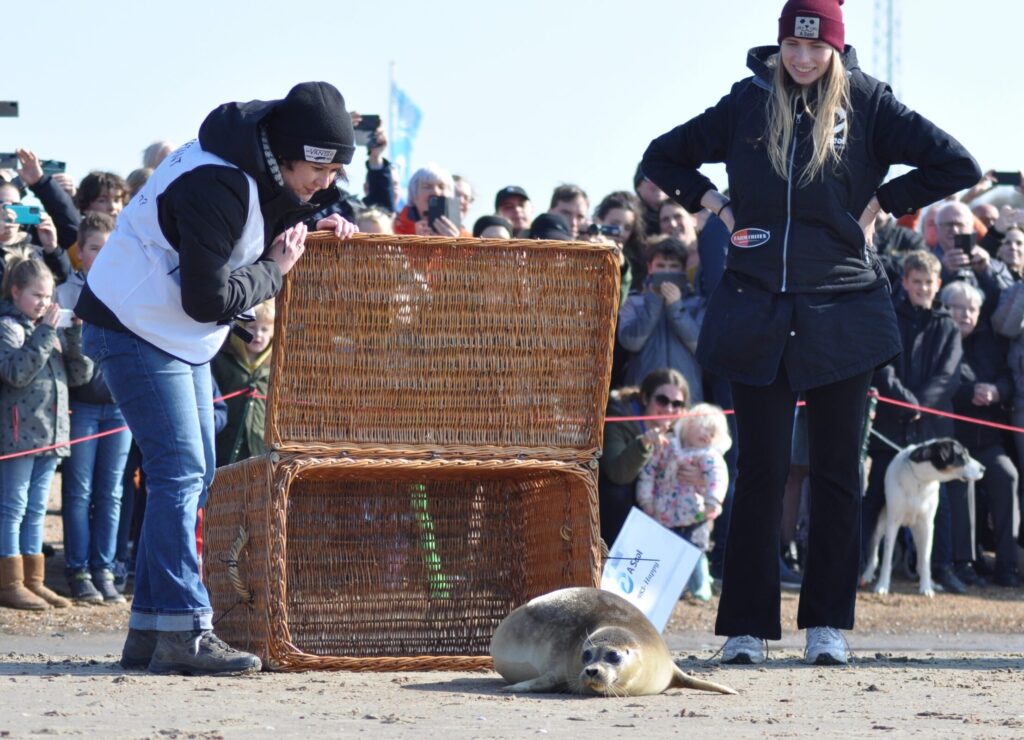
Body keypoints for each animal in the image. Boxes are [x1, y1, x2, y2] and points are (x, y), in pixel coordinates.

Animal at [860, 440, 987, 597]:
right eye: (962, 456)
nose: (983, 469)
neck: (921, 480)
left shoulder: (927, 525)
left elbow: (926, 561)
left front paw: (926, 587)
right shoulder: (892, 523)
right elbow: (887, 559)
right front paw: (883, 585)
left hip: (918, 531)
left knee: (921, 561)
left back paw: (931, 583)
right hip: (881, 522)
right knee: (874, 549)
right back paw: (867, 574)